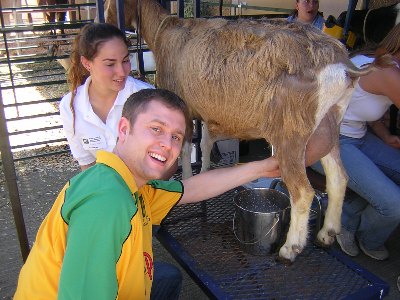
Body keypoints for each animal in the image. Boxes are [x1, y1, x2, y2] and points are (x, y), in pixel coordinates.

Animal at [104, 0, 368, 262]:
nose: (109, 23)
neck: (165, 32)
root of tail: (344, 67)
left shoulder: (183, 106)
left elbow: (187, 148)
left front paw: (188, 179)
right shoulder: (206, 113)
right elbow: (205, 143)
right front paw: (204, 175)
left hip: (292, 131)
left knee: (303, 192)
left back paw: (290, 249)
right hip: (329, 126)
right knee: (338, 178)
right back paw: (327, 234)